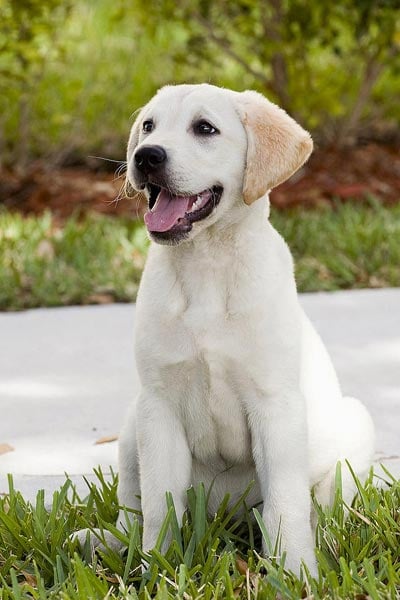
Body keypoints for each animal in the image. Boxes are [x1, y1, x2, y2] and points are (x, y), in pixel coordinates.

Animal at [79, 85, 376, 576]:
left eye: (205, 128)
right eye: (149, 126)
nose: (145, 157)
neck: (207, 266)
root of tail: (228, 519)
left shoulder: (275, 405)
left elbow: (285, 504)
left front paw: (295, 573)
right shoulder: (160, 405)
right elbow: (160, 506)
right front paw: (157, 568)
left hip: (355, 426)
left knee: (327, 508)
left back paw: (327, 542)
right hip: (133, 422)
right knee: (131, 510)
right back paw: (107, 543)